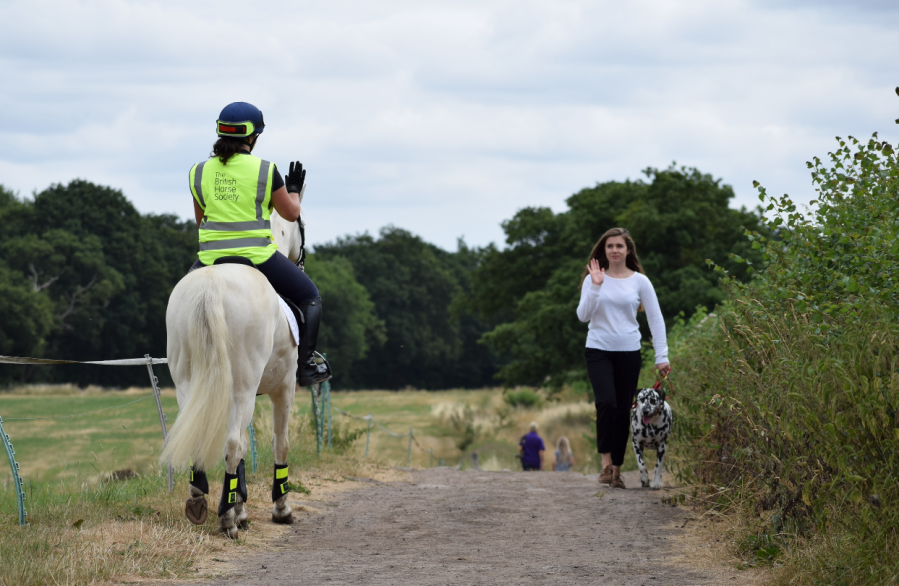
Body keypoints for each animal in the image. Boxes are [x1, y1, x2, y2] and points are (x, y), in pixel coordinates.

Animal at [160, 208, 304, 536]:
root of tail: (211, 284)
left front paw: (241, 509)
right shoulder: (284, 388)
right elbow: (280, 443)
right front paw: (280, 508)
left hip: (189, 385)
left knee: (201, 434)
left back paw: (199, 500)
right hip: (244, 389)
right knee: (233, 444)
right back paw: (226, 519)